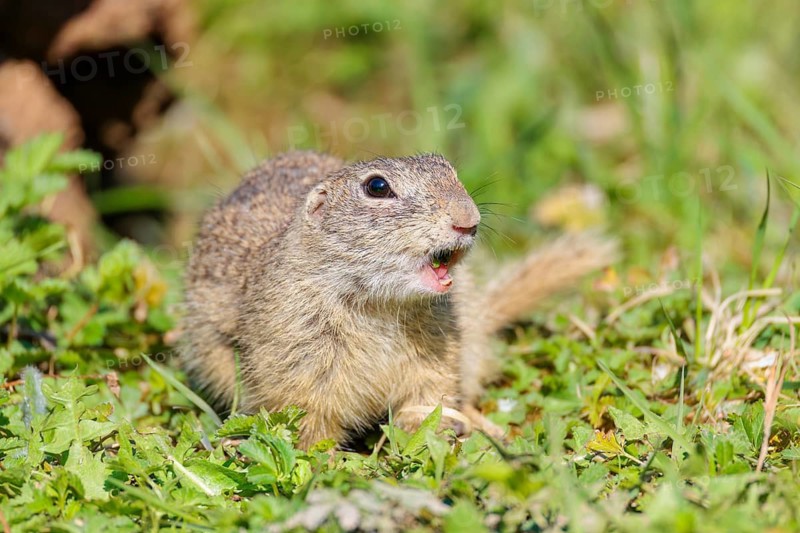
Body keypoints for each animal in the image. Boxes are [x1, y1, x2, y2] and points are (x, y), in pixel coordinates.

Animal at [181, 151, 617, 448]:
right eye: (377, 187)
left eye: (448, 168)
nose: (468, 219)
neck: (378, 304)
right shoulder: (297, 354)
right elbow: (308, 418)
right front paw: (327, 462)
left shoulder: (438, 348)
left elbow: (429, 396)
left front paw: (428, 432)